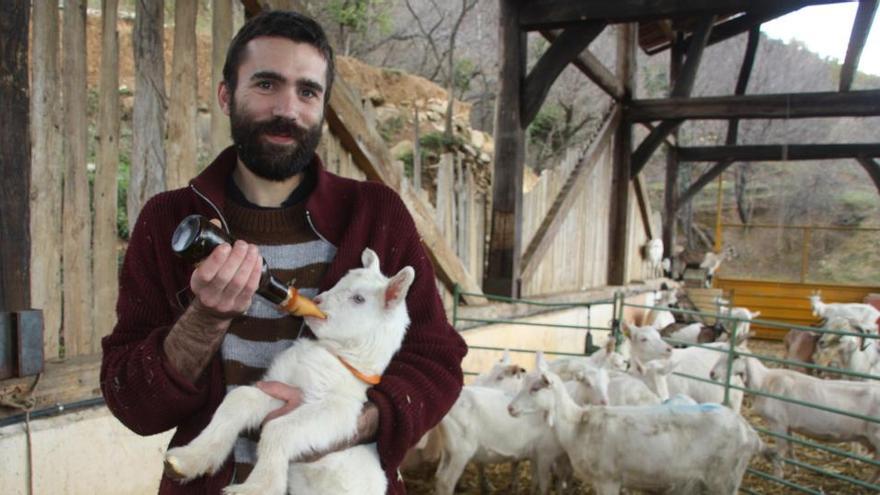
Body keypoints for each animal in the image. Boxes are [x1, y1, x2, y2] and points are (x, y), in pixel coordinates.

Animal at [508, 360, 764, 495]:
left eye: (535, 388)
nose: (510, 408)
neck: (577, 425)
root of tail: (751, 433)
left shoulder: (608, 479)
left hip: (725, 479)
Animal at [712, 354, 880, 482]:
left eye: (734, 357)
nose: (712, 374)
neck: (765, 381)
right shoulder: (787, 424)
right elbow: (790, 447)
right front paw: (795, 469)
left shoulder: (778, 422)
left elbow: (781, 449)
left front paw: (777, 477)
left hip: (876, 434)